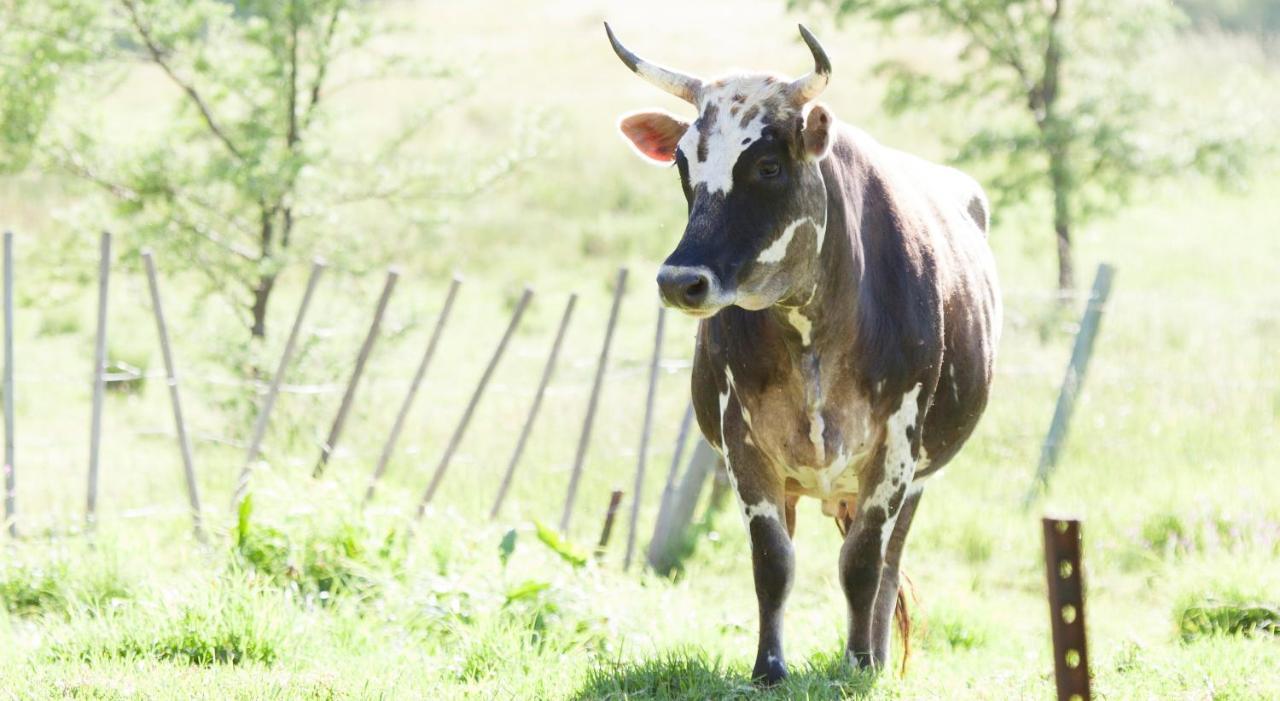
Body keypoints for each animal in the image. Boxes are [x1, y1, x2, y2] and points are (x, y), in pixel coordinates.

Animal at [604, 23, 1003, 685]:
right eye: (684, 163)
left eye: (767, 164)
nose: (680, 280)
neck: (812, 329)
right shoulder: (745, 444)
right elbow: (773, 563)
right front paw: (769, 667)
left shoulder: (895, 450)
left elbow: (863, 564)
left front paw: (860, 663)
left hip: (917, 480)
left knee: (889, 562)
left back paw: (875, 655)